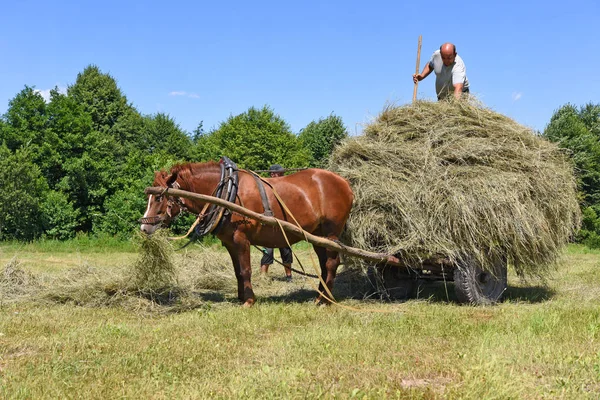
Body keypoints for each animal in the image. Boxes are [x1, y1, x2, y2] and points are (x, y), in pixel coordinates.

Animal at [139, 159, 356, 306]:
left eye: (159, 197)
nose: (144, 227)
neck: (228, 192)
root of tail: (345, 182)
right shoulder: (229, 242)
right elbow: (237, 271)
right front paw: (241, 296)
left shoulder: (241, 239)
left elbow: (245, 270)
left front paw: (249, 300)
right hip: (318, 236)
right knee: (324, 264)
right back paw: (321, 296)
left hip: (331, 233)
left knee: (331, 263)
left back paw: (325, 300)